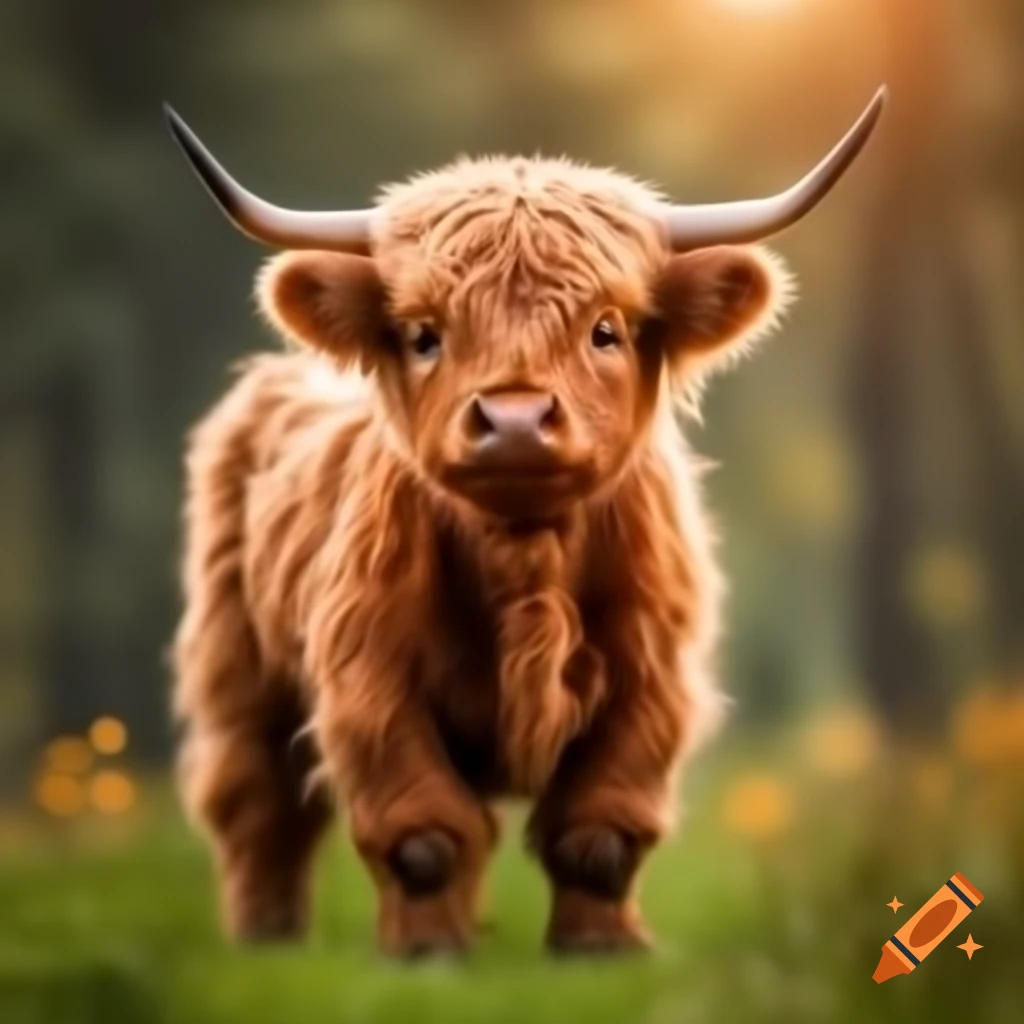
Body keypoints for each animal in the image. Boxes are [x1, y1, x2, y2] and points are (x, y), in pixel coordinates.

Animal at [165, 87, 887, 958]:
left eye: (606, 329)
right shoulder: (369, 678)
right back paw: (266, 936)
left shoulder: (652, 679)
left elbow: (599, 835)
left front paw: (599, 949)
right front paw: (427, 956)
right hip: (236, 659)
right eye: (424, 334)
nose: (514, 421)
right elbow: (424, 836)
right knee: (257, 799)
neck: (525, 558)